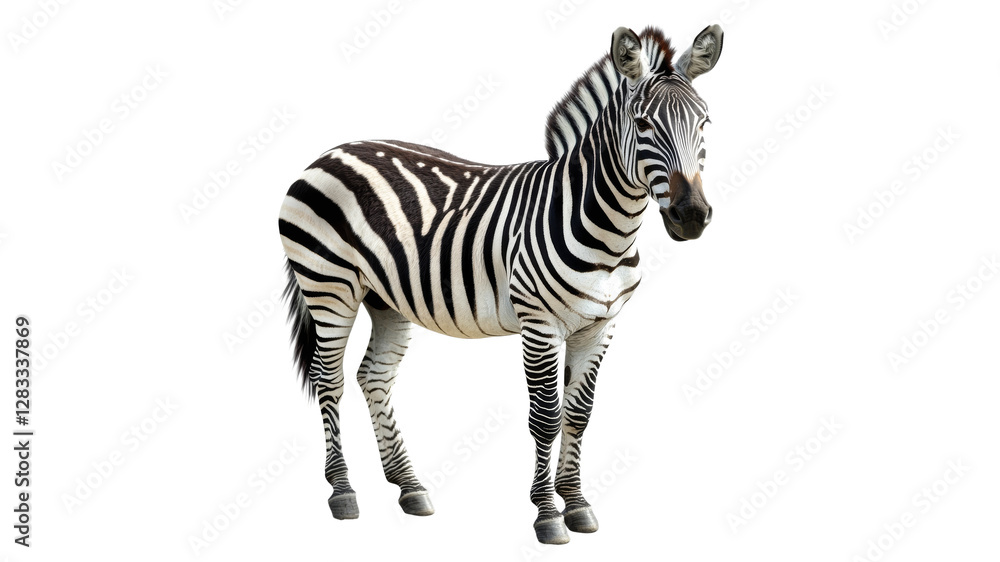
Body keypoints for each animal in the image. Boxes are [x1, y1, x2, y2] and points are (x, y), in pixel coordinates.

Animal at [278, 24, 723, 544]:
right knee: (327, 379)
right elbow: (547, 418)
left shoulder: (601, 326)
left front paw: (576, 504)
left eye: (705, 123)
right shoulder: (540, 325)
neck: (605, 228)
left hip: (386, 297)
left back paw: (409, 486)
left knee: (374, 377)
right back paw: (343, 491)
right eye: (644, 124)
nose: (691, 216)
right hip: (329, 286)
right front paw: (547, 514)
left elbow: (579, 415)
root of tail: (331, 151)